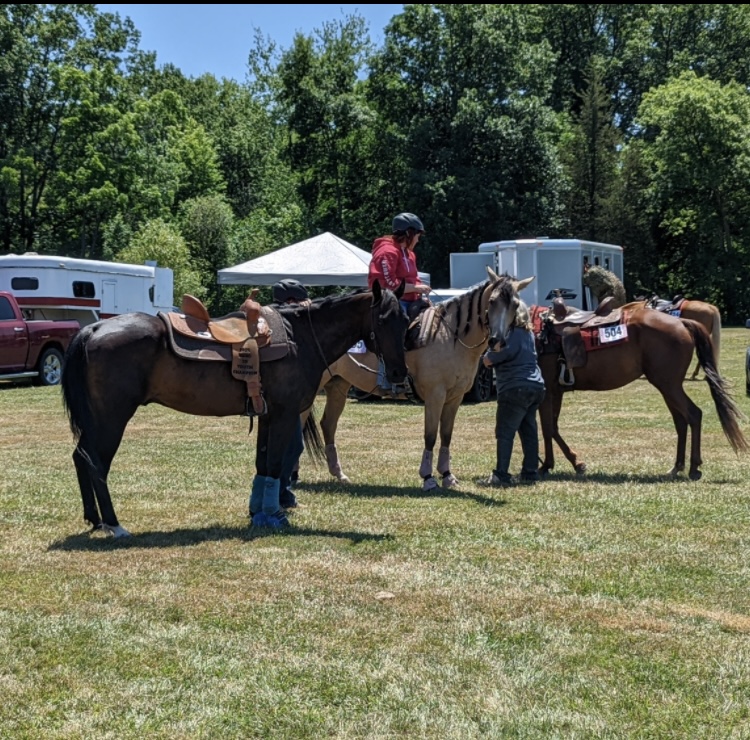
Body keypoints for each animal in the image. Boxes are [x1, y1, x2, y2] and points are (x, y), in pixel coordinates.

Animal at [61, 280, 408, 536]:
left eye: (405, 320)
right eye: (383, 319)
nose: (398, 373)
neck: (300, 338)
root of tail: (93, 330)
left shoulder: (267, 415)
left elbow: (262, 464)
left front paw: (257, 512)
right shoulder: (284, 415)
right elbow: (274, 466)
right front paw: (272, 516)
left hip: (97, 419)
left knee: (80, 456)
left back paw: (94, 519)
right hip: (112, 418)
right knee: (96, 463)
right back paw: (114, 524)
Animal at [302, 268, 536, 488]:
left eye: (515, 304)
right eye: (493, 301)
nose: (497, 341)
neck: (451, 338)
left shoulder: (455, 397)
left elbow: (446, 435)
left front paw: (447, 475)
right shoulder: (435, 395)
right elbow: (430, 435)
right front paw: (428, 478)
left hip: (338, 385)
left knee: (328, 424)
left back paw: (339, 474)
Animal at [490, 294, 748, 480]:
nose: (493, 340)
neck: (536, 330)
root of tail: (681, 321)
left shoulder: (547, 393)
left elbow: (547, 429)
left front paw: (555, 465)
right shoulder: (556, 392)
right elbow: (552, 428)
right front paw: (571, 463)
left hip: (668, 385)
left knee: (693, 415)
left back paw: (693, 467)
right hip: (667, 386)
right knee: (681, 421)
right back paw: (677, 466)